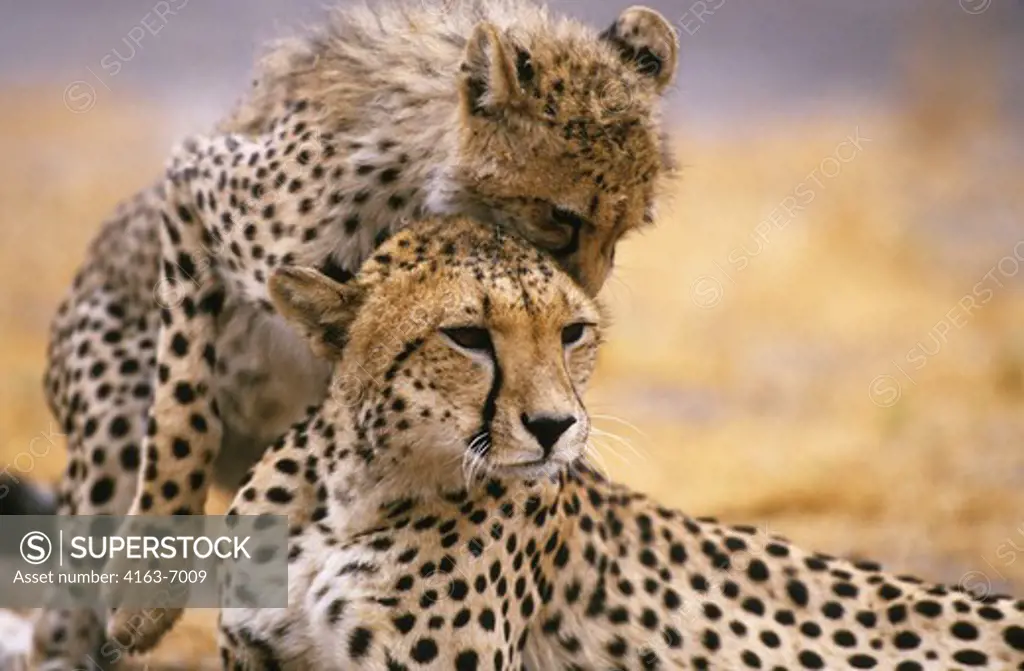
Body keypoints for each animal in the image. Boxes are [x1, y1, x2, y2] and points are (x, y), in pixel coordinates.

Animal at [36, 0, 679, 659]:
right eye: (562, 217)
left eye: (627, 228)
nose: (586, 307)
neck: (421, 177)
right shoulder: (196, 188)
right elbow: (183, 408)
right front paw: (150, 588)